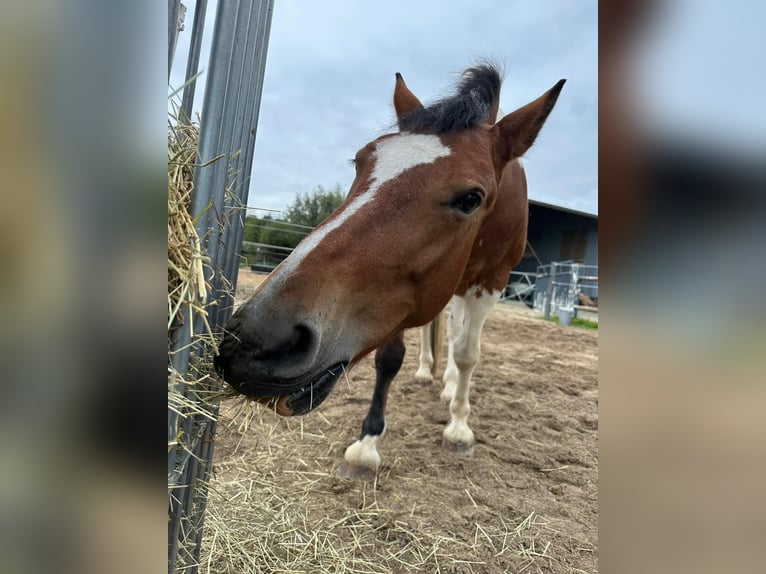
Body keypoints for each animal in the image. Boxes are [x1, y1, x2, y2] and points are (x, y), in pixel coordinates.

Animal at [216, 64, 564, 479]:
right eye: (360, 161)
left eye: (471, 199)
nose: (255, 342)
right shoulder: (400, 301)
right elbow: (390, 358)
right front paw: (366, 444)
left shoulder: (490, 282)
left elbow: (467, 354)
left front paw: (459, 428)